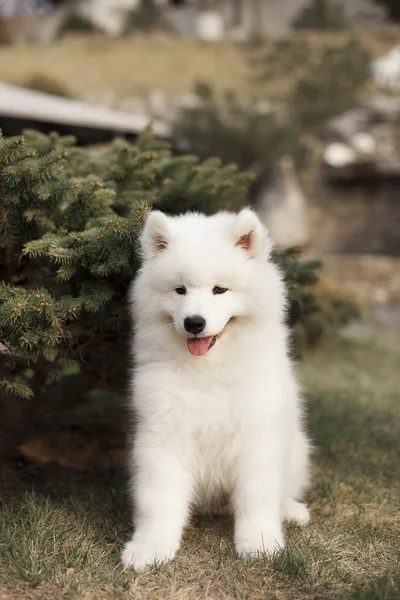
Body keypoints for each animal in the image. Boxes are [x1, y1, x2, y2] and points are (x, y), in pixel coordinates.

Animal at [123, 209, 310, 568]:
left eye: (220, 290)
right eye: (180, 290)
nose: (194, 322)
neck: (208, 368)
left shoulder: (257, 437)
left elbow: (257, 498)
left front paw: (259, 543)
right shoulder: (164, 436)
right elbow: (159, 500)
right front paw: (151, 548)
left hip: (297, 448)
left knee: (283, 491)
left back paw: (293, 511)